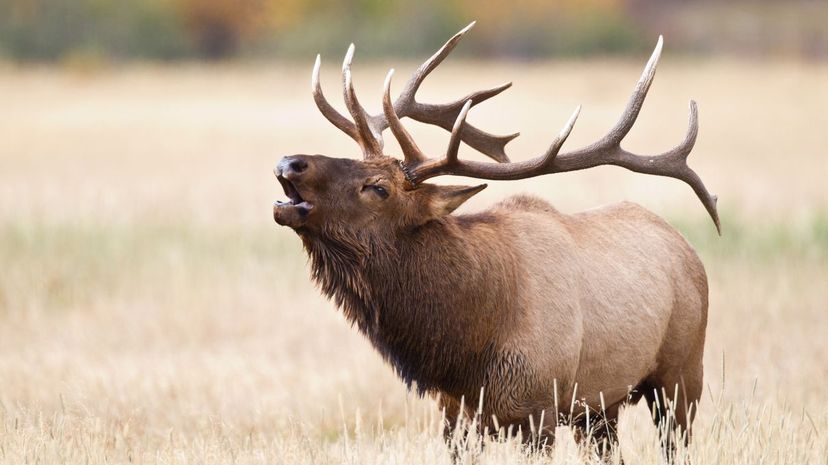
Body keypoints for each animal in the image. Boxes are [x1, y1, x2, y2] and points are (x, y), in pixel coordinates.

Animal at [272, 22, 718, 461]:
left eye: (379, 188)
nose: (290, 162)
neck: (467, 347)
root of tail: (687, 249)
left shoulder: (540, 408)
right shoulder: (455, 414)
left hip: (682, 374)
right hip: (599, 407)